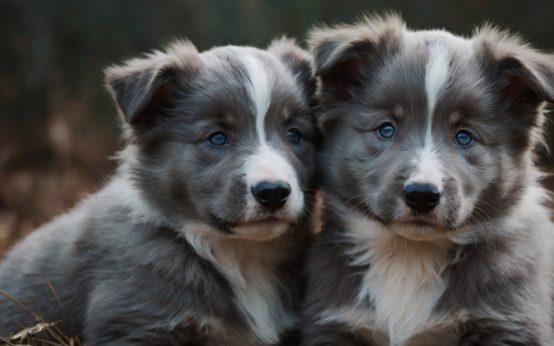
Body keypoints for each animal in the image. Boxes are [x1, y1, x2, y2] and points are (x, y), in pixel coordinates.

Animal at [300, 14, 552, 346]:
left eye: (464, 136)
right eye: (386, 129)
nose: (422, 194)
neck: (410, 254)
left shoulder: (508, 325)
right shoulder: (335, 326)